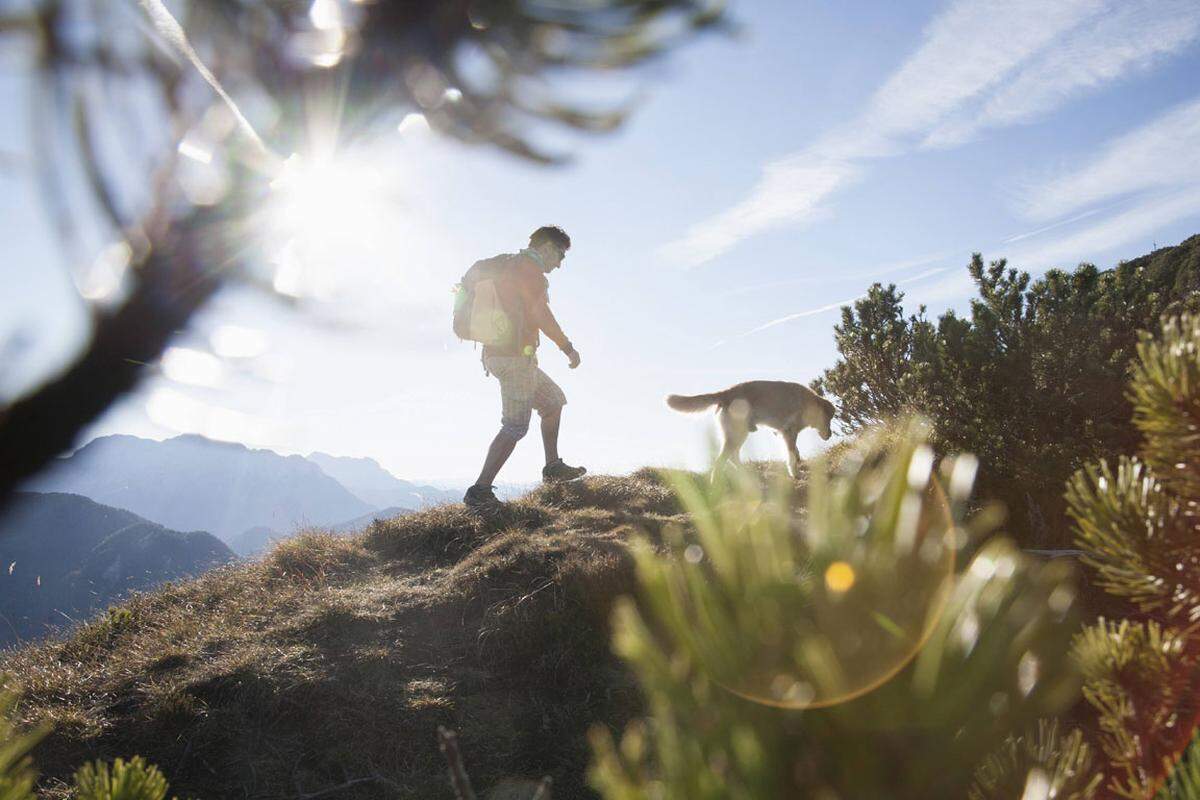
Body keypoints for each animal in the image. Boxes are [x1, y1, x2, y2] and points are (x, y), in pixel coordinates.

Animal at [667, 381, 835, 479]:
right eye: (830, 419)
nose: (830, 434)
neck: (807, 403)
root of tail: (726, 393)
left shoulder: (782, 433)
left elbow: (795, 452)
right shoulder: (789, 432)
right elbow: (791, 456)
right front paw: (795, 474)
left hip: (740, 435)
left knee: (733, 457)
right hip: (736, 436)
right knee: (720, 462)